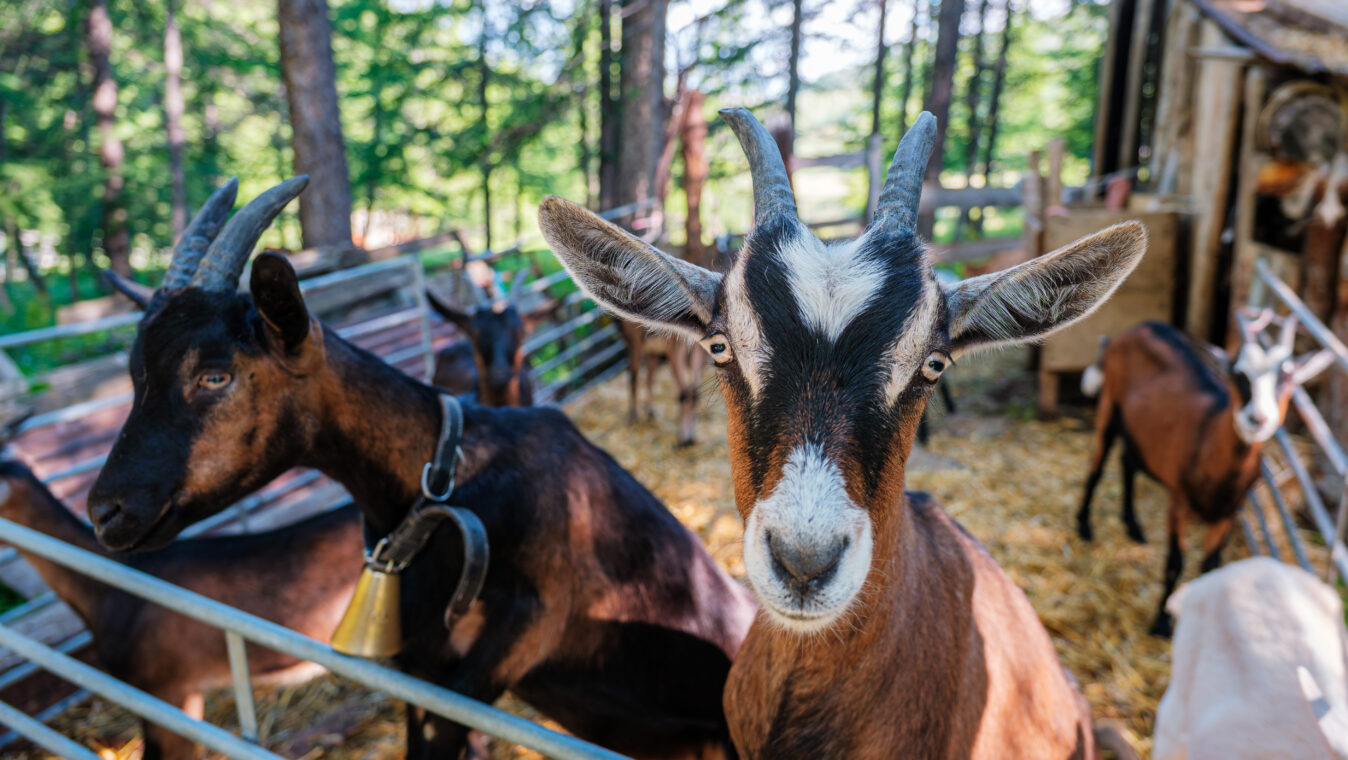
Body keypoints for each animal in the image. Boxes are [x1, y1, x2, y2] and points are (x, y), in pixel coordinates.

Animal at [92, 175, 760, 754]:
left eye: (215, 375)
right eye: (135, 372)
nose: (106, 510)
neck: (451, 484)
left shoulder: (528, 628)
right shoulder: (417, 665)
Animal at [1078, 312, 1321, 636]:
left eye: (1288, 377)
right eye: (1238, 373)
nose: (1257, 419)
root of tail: (1139, 328)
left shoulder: (1228, 513)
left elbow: (1209, 566)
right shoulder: (1178, 504)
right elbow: (1175, 562)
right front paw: (1161, 623)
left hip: (1139, 428)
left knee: (1127, 461)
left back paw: (1133, 525)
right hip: (1110, 402)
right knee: (1098, 461)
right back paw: (1083, 525)